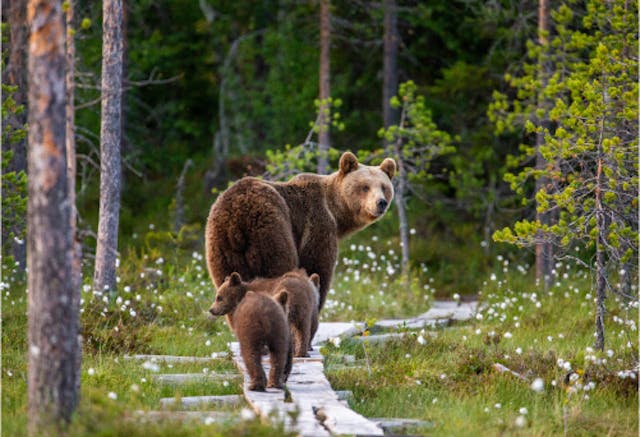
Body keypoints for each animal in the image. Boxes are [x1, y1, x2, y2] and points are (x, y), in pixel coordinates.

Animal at [205, 152, 396, 308]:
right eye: (365, 186)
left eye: (384, 187)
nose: (381, 202)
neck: (336, 213)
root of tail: (236, 220)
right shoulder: (317, 223)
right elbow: (316, 267)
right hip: (270, 230)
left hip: (221, 246)